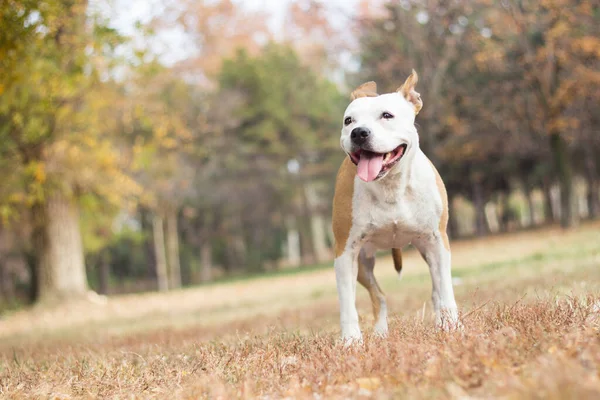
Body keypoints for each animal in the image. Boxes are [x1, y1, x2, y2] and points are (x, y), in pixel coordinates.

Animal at [332, 70, 460, 342]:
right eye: (348, 120)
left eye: (387, 115)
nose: (358, 132)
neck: (389, 184)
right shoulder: (345, 251)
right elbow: (347, 302)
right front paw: (350, 341)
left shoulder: (437, 241)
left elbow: (445, 289)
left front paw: (453, 327)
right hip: (363, 263)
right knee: (378, 297)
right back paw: (381, 332)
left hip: (425, 247)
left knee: (436, 290)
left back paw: (440, 322)